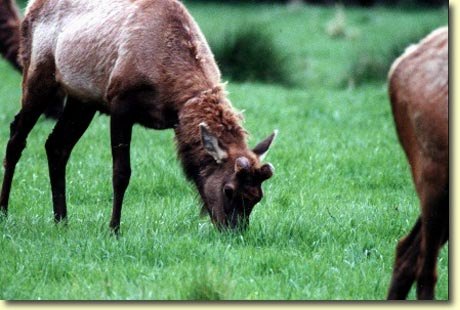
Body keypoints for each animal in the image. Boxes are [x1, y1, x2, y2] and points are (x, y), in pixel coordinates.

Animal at [0, 0, 276, 232]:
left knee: (57, 145)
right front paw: (114, 229)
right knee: (16, 137)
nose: (235, 232)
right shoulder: (120, 105)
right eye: (228, 189)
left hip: (82, 99)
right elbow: (121, 173)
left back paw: (61, 219)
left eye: (257, 197)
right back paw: (4, 211)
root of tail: (30, 7)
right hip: (38, 74)